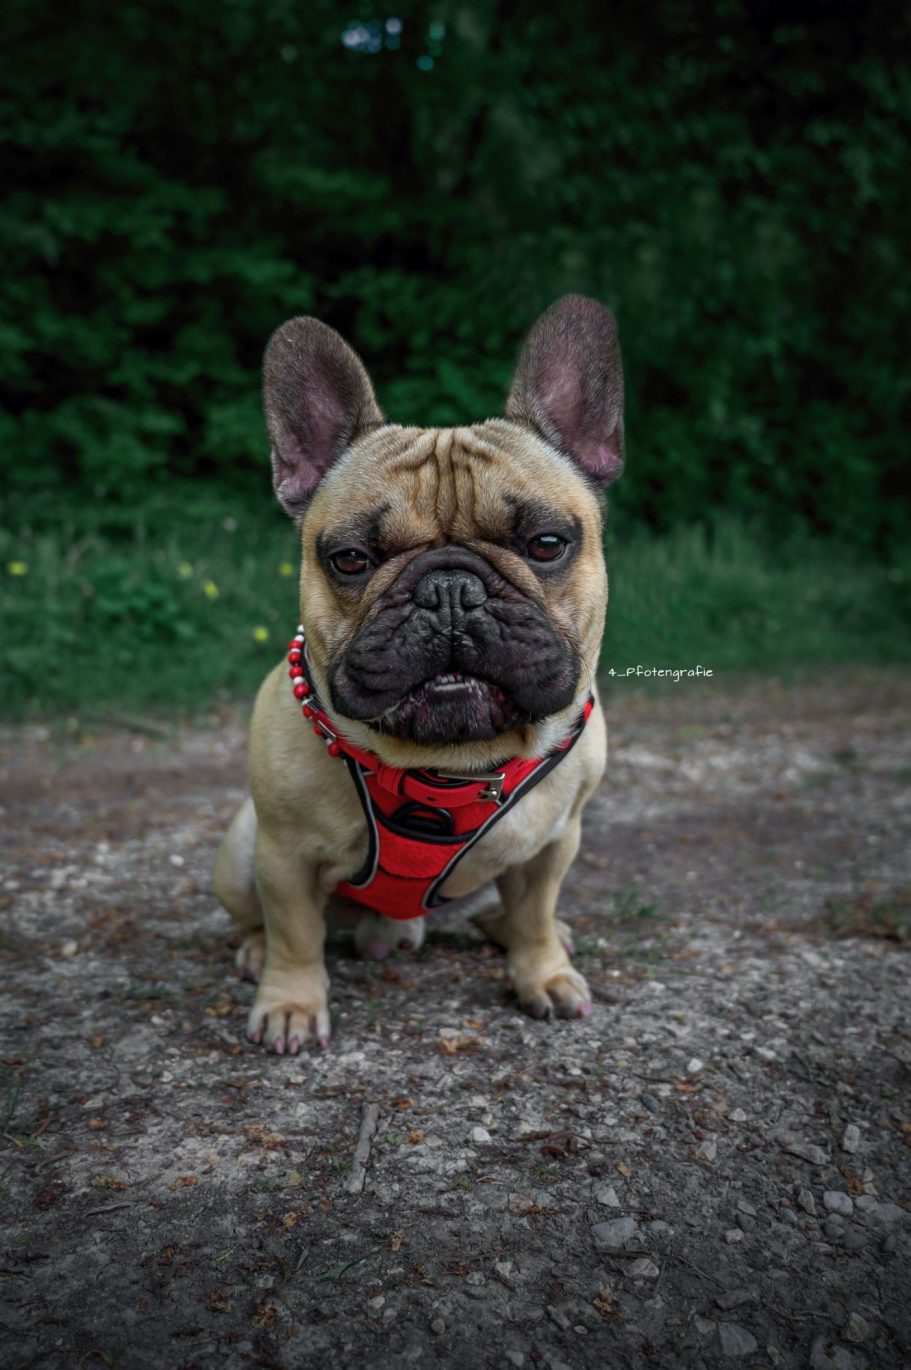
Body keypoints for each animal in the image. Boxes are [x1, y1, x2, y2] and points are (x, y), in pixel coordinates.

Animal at [213, 297, 624, 1046]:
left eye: (546, 544)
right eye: (349, 559)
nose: (450, 590)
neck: (449, 766)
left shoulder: (554, 845)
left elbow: (535, 913)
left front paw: (542, 972)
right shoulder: (283, 858)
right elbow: (294, 933)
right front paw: (290, 1003)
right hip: (239, 853)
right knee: (261, 918)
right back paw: (256, 951)